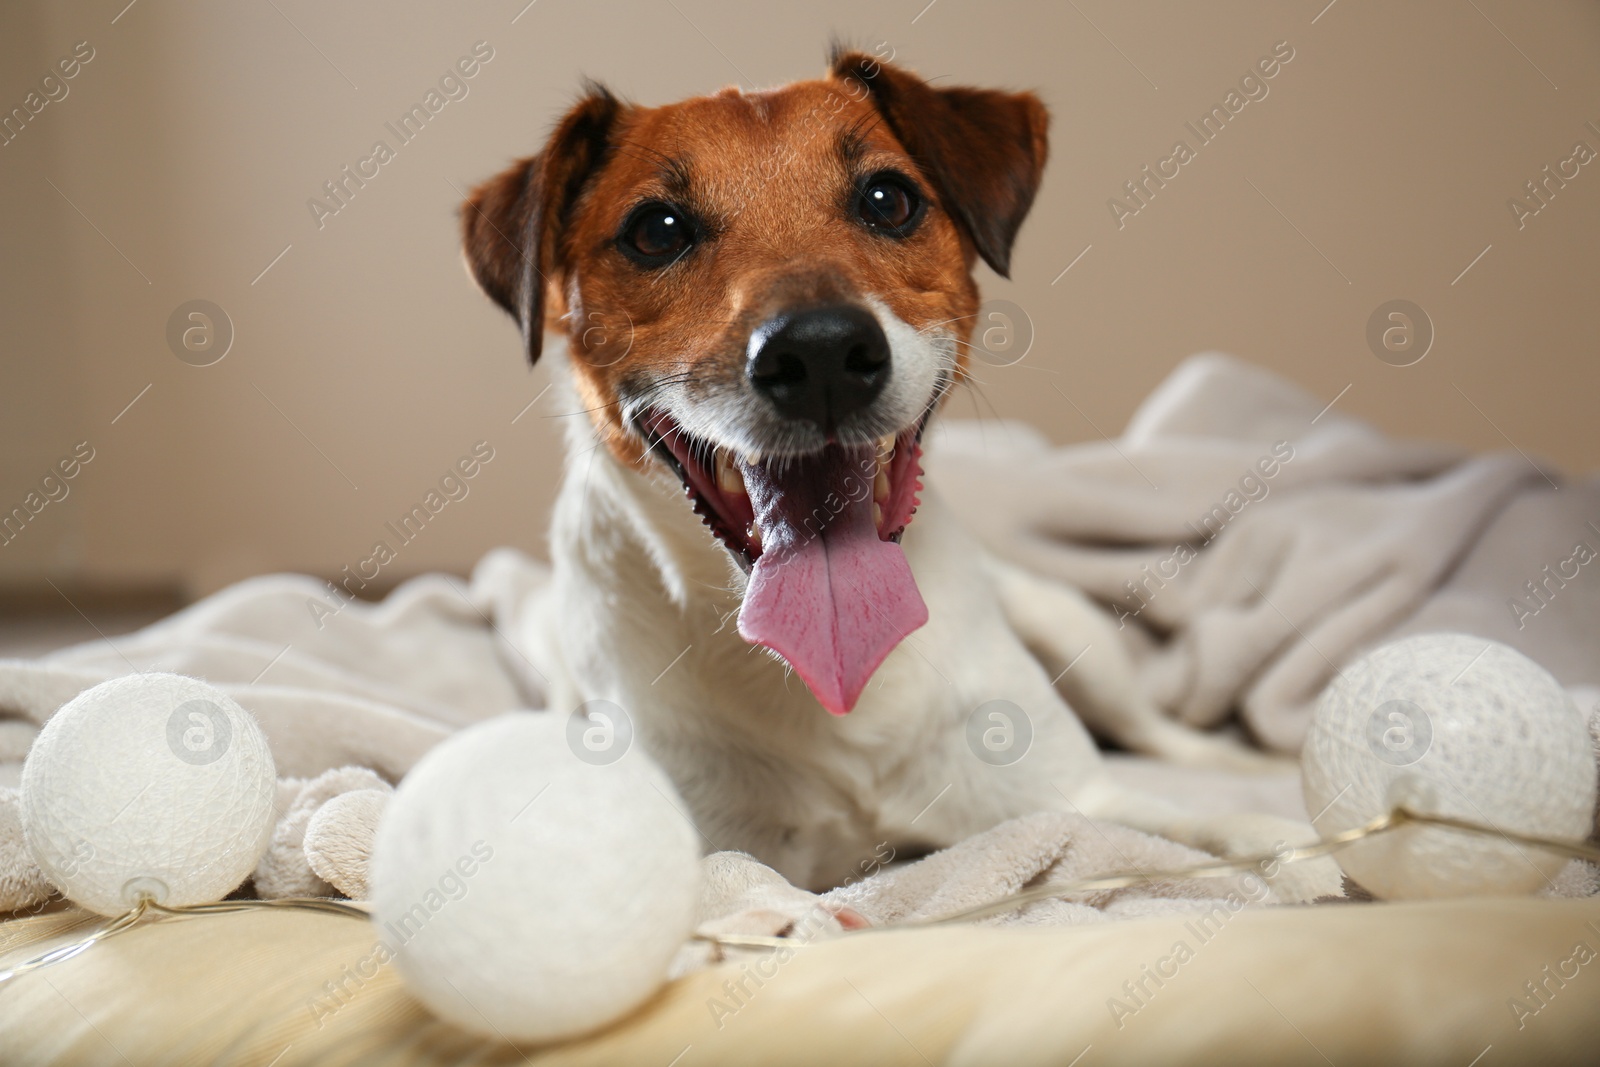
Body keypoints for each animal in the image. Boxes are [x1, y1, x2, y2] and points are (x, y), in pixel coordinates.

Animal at [464, 49, 1337, 902]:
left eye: (888, 199)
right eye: (656, 230)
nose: (819, 352)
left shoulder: (1079, 800)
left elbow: (1208, 827)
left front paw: (1303, 850)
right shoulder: (720, 850)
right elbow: (745, 886)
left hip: (1066, 624)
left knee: (1159, 733)